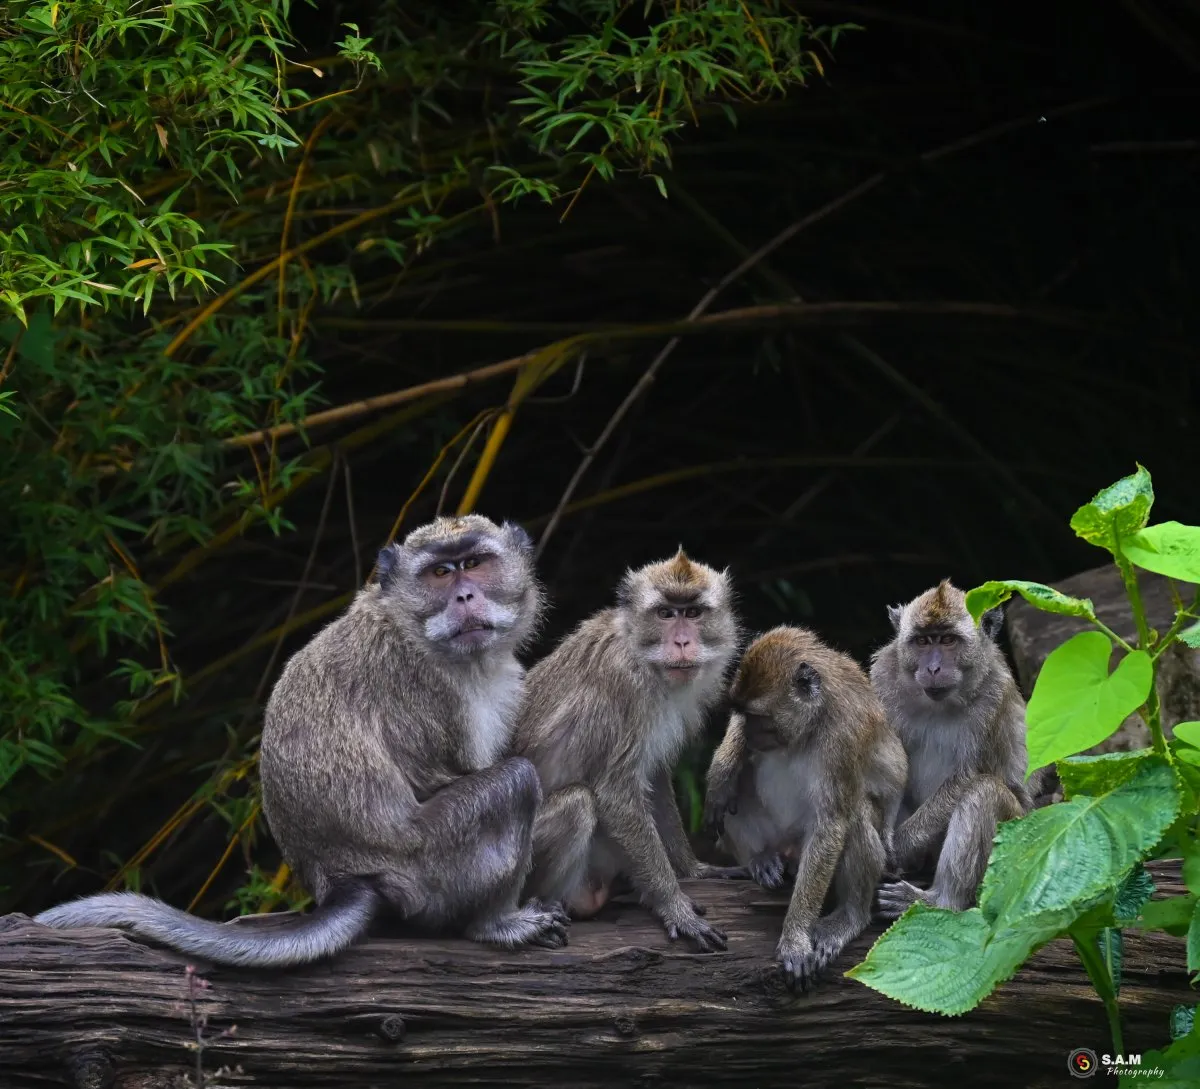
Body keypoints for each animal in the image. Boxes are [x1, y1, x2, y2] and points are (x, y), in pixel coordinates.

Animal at [34, 514, 570, 967]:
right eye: (440, 573)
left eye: (475, 564)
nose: (464, 598)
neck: (413, 628)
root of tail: (343, 880)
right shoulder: (431, 690)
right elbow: (448, 774)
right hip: (430, 872)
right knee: (515, 782)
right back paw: (493, 923)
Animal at [512, 548, 740, 953]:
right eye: (665, 613)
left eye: (693, 613)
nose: (682, 642)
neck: (642, 654)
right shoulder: (626, 687)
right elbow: (616, 795)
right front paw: (675, 906)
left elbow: (656, 780)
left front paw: (694, 869)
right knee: (578, 803)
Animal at [702, 626, 907, 991]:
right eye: (742, 713)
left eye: (759, 717)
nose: (751, 733)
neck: (811, 724)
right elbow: (726, 779)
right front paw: (722, 771)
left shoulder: (842, 737)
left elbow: (831, 824)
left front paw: (795, 938)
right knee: (737, 792)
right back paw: (759, 858)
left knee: (854, 814)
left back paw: (850, 915)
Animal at [870, 578, 1037, 918]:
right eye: (922, 642)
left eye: (948, 640)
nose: (933, 668)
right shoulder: (883, 681)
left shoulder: (994, 696)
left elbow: (967, 777)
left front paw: (898, 849)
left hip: (1018, 836)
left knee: (984, 792)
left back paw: (940, 901)